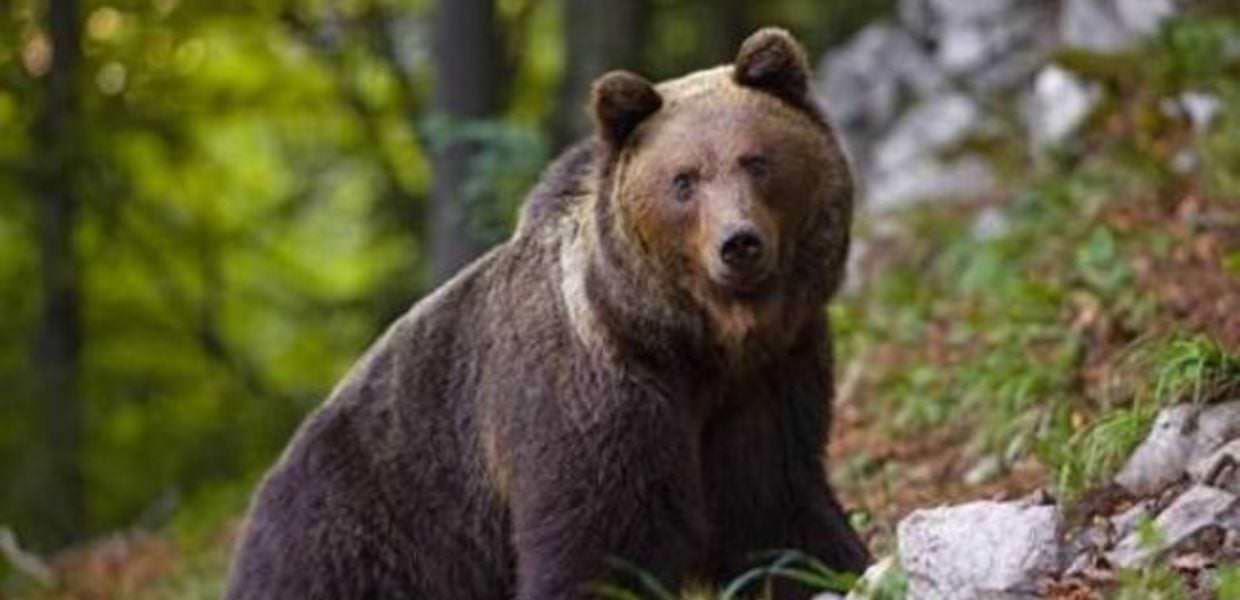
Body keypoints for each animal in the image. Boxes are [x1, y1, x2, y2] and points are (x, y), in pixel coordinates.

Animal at [225, 27, 869, 600]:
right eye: (684, 180)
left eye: (756, 161)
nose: (738, 244)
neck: (690, 342)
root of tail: (258, 501)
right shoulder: (591, 399)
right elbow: (598, 542)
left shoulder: (766, 385)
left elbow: (779, 513)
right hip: (359, 534)